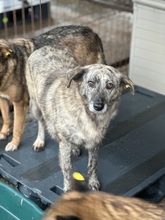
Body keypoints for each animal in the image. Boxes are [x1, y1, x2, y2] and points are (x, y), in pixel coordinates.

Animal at [25, 46, 134, 191]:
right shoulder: (64, 143)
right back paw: (40, 141)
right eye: (90, 83)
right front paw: (68, 189)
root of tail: (45, 47)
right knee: (41, 122)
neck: (88, 116)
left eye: (110, 85)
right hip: (35, 106)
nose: (98, 106)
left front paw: (93, 182)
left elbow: (93, 165)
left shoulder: (95, 143)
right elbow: (67, 168)